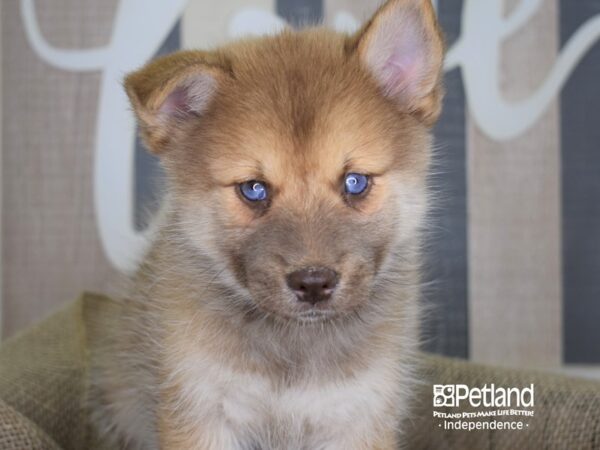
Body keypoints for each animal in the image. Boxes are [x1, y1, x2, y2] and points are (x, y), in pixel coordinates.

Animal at [88, 0, 446, 450]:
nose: (313, 283)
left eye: (355, 182)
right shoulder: (200, 409)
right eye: (254, 189)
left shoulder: (360, 414)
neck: (291, 350)